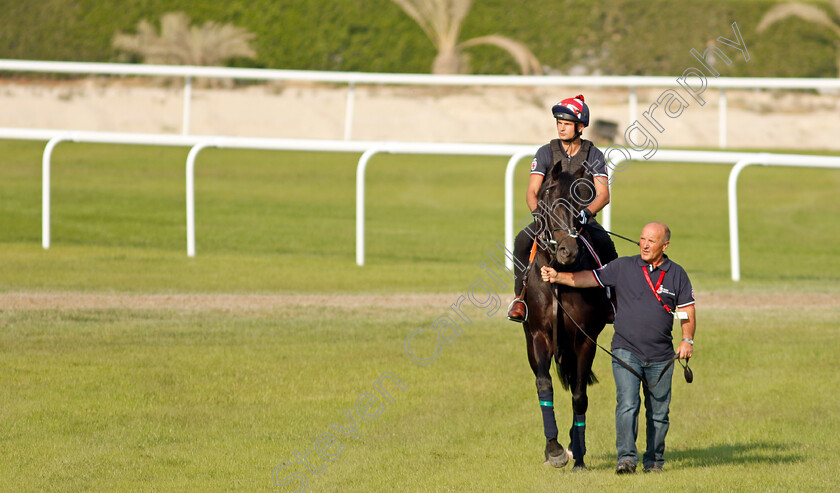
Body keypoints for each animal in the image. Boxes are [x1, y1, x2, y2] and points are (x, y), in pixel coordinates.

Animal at [520, 164, 608, 468]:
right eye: (549, 201)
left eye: (580, 203)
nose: (568, 251)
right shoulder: (538, 335)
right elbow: (544, 385)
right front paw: (554, 449)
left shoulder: (586, 340)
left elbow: (580, 396)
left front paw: (577, 452)